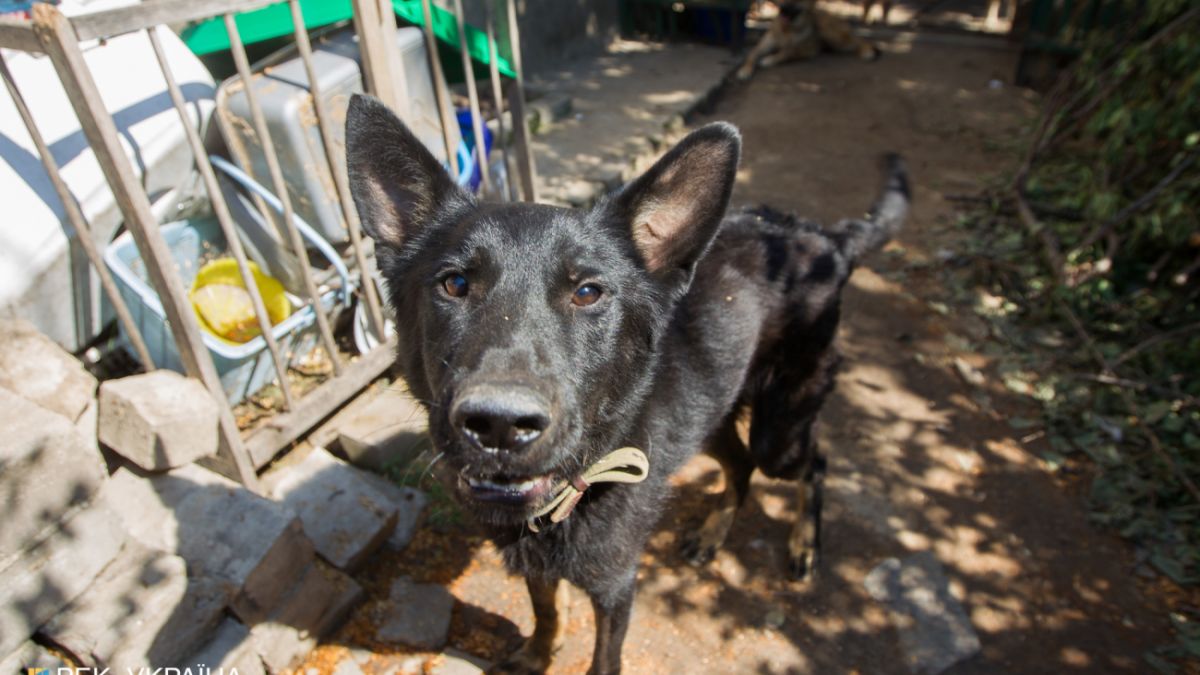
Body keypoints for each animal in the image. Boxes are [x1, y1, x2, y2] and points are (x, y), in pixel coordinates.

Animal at [343, 91, 902, 667]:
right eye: (454, 284)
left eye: (588, 292)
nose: (499, 425)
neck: (577, 486)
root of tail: (825, 237)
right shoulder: (541, 559)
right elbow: (545, 607)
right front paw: (539, 653)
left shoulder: (615, 585)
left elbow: (603, 660)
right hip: (711, 414)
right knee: (741, 463)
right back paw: (713, 533)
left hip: (782, 427)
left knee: (813, 462)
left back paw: (804, 543)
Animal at [729, 0, 883, 79]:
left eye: (795, 1)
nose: (784, 9)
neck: (787, 30)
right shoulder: (763, 46)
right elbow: (751, 55)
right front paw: (744, 70)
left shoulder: (800, 50)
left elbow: (785, 54)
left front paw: (769, 60)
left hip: (832, 34)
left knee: (859, 41)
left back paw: (867, 52)